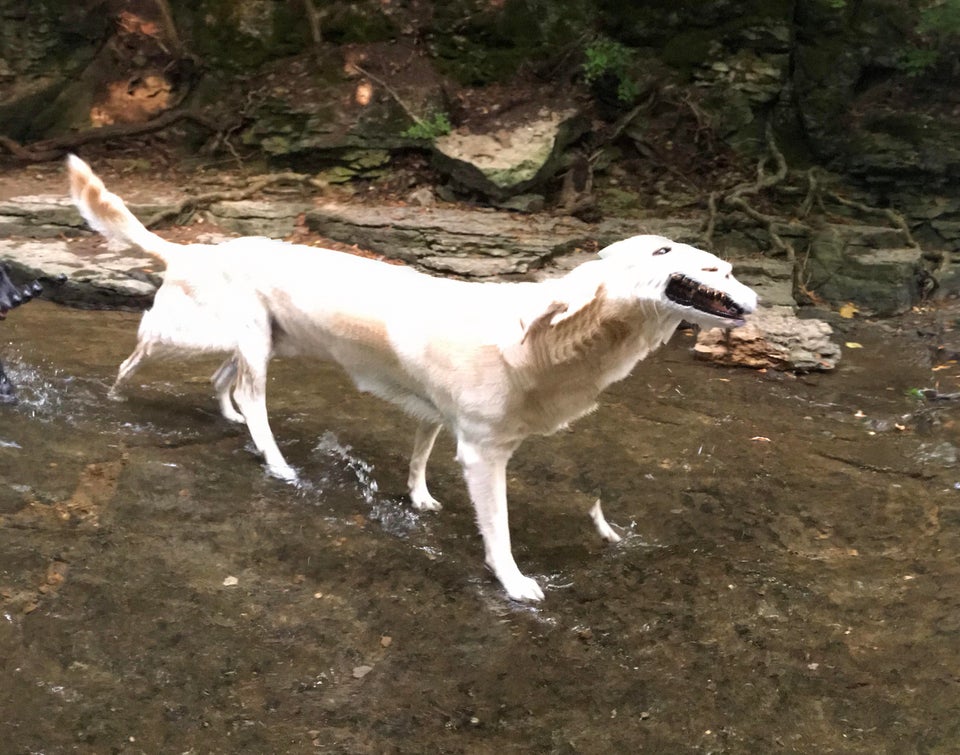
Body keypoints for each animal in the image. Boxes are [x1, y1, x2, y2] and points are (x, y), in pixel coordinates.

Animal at [67, 154, 756, 604]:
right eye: (662, 252)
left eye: (718, 267)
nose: (728, 269)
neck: (555, 342)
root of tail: (194, 249)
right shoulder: (483, 452)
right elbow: (499, 529)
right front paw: (514, 583)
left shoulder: (435, 414)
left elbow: (420, 457)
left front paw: (421, 499)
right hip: (197, 335)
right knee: (154, 359)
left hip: (261, 341)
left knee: (228, 382)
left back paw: (234, 419)